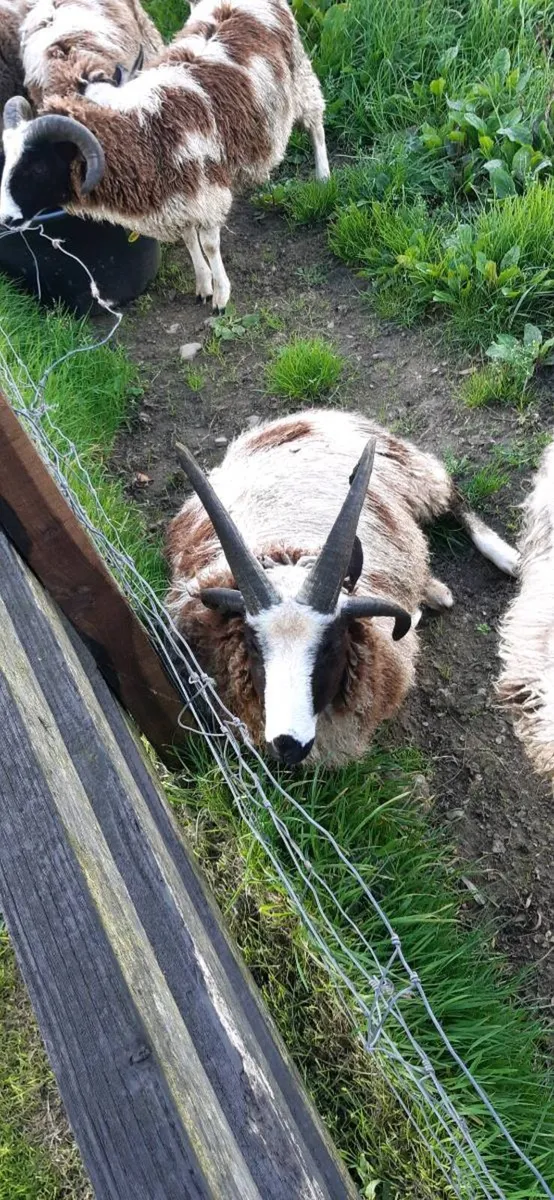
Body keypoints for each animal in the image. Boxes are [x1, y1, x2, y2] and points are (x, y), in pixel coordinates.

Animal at [165, 408, 519, 767]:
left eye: (330, 646)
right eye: (253, 645)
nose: (288, 744)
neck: (290, 552)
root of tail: (297, 416)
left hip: (413, 473)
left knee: (454, 498)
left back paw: (508, 558)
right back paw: (434, 591)